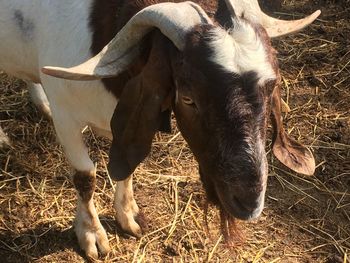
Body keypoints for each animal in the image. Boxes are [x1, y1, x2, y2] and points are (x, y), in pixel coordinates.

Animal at [0, 0, 322, 260]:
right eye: (188, 98)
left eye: (271, 88)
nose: (248, 203)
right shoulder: (66, 117)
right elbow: (85, 176)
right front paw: (91, 235)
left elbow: (126, 165)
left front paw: (129, 215)